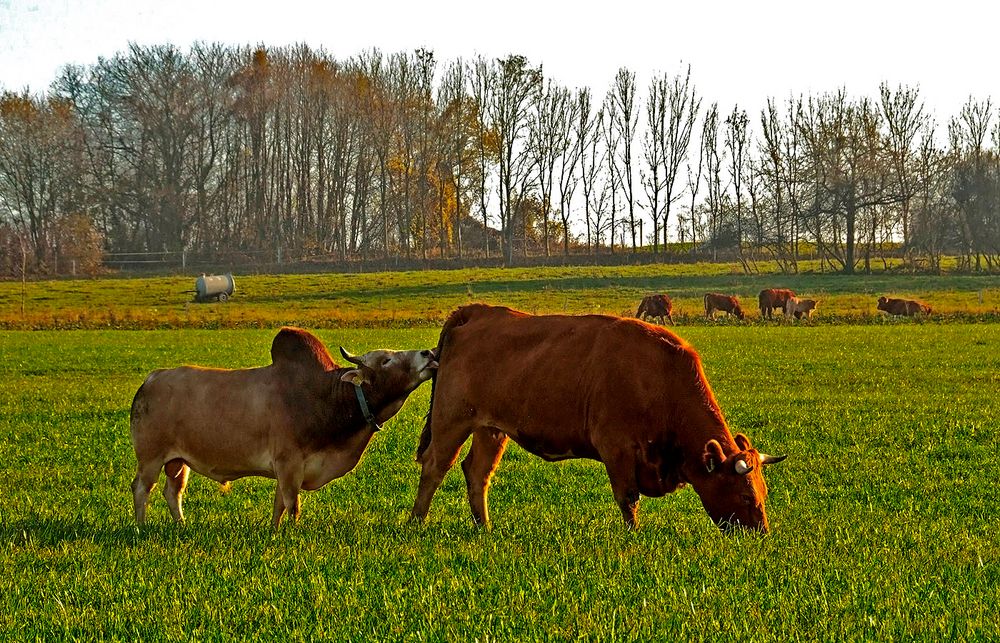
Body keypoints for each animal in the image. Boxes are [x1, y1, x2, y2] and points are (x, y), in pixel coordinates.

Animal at [128, 328, 434, 528]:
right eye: (386, 360)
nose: (428, 353)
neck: (326, 397)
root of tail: (150, 380)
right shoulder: (289, 463)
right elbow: (292, 504)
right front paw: (293, 533)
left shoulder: (287, 469)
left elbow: (279, 505)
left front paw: (274, 531)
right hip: (151, 458)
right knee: (142, 488)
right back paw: (141, 528)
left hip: (179, 461)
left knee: (173, 491)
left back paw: (181, 524)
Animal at [410, 304, 784, 532]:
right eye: (745, 495)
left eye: (764, 493)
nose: (760, 534)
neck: (661, 376)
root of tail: (478, 312)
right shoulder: (616, 448)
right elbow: (628, 498)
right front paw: (634, 537)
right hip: (451, 420)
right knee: (435, 467)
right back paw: (417, 523)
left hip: (490, 429)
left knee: (477, 473)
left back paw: (485, 528)